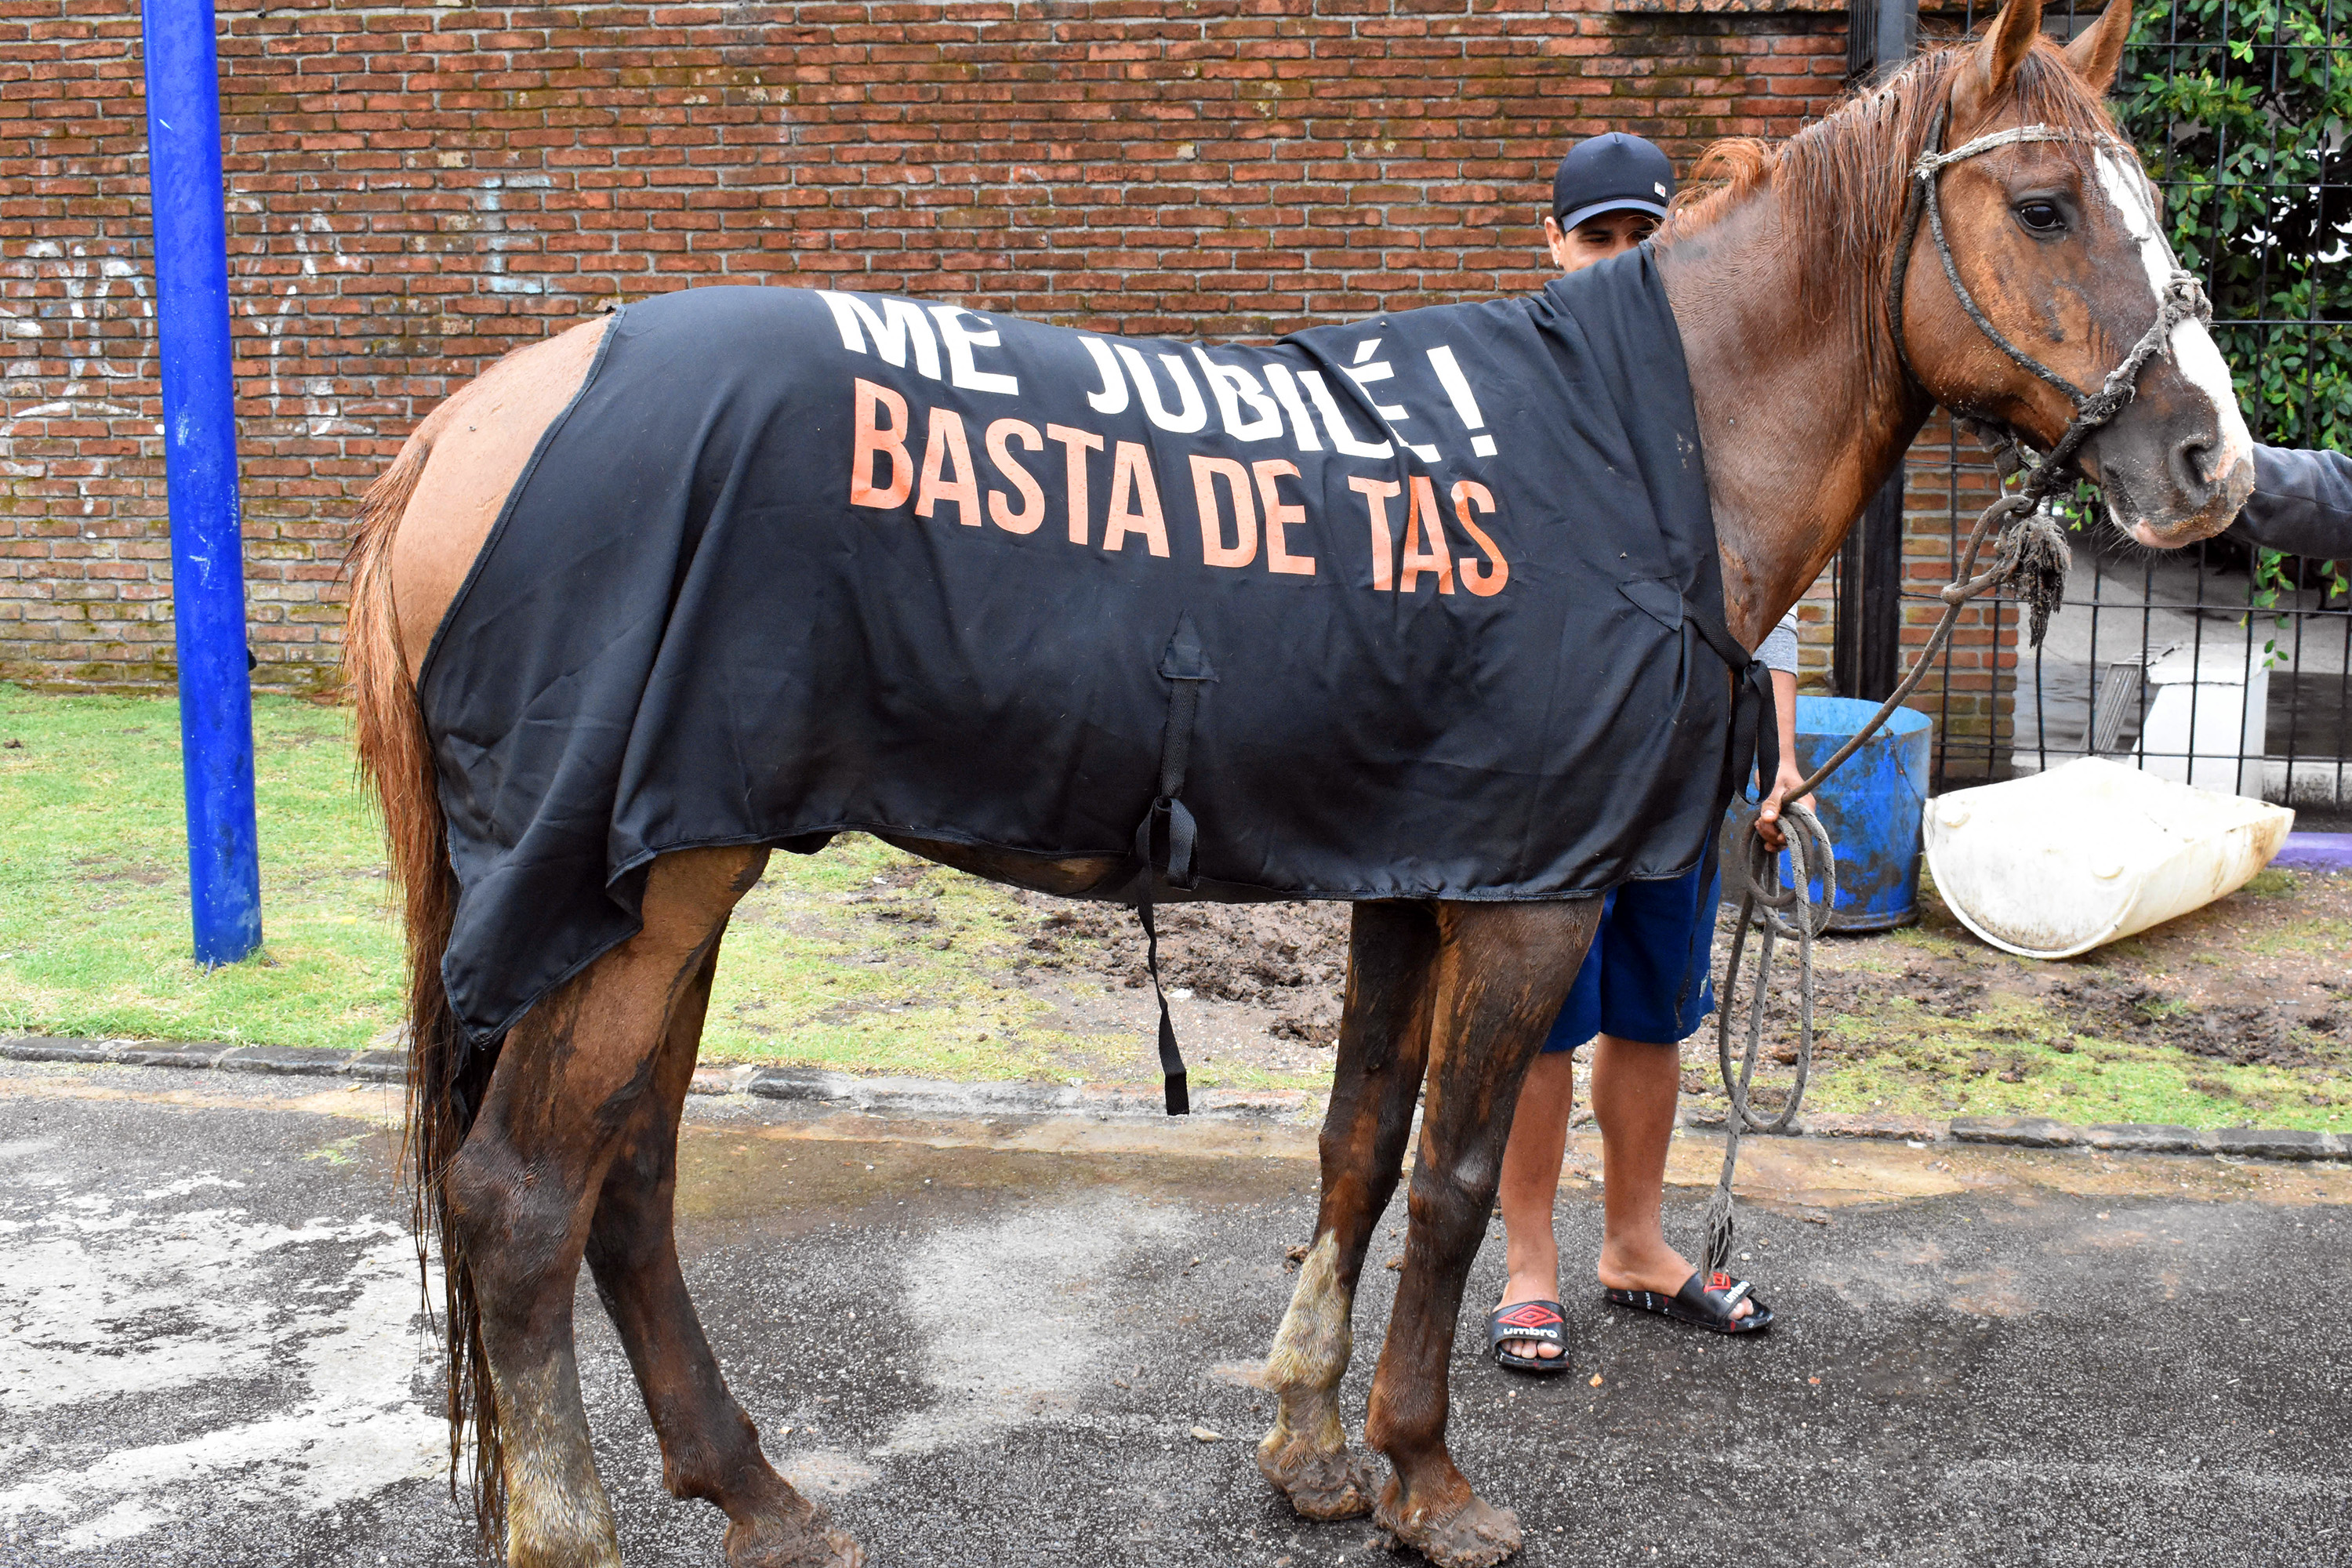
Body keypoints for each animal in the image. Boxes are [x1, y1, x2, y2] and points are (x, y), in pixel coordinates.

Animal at [343, 5, 2239, 1561]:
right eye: (2047, 207)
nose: (2212, 461)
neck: (1633, 446)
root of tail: (478, 424)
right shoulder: (1531, 897)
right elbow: (1462, 1182)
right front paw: (1430, 1479)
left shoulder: (1421, 868)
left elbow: (1358, 1149)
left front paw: (1314, 1452)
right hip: (638, 891)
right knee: (524, 1200)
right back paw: (583, 1526)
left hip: (672, 881)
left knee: (629, 1183)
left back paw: (758, 1494)